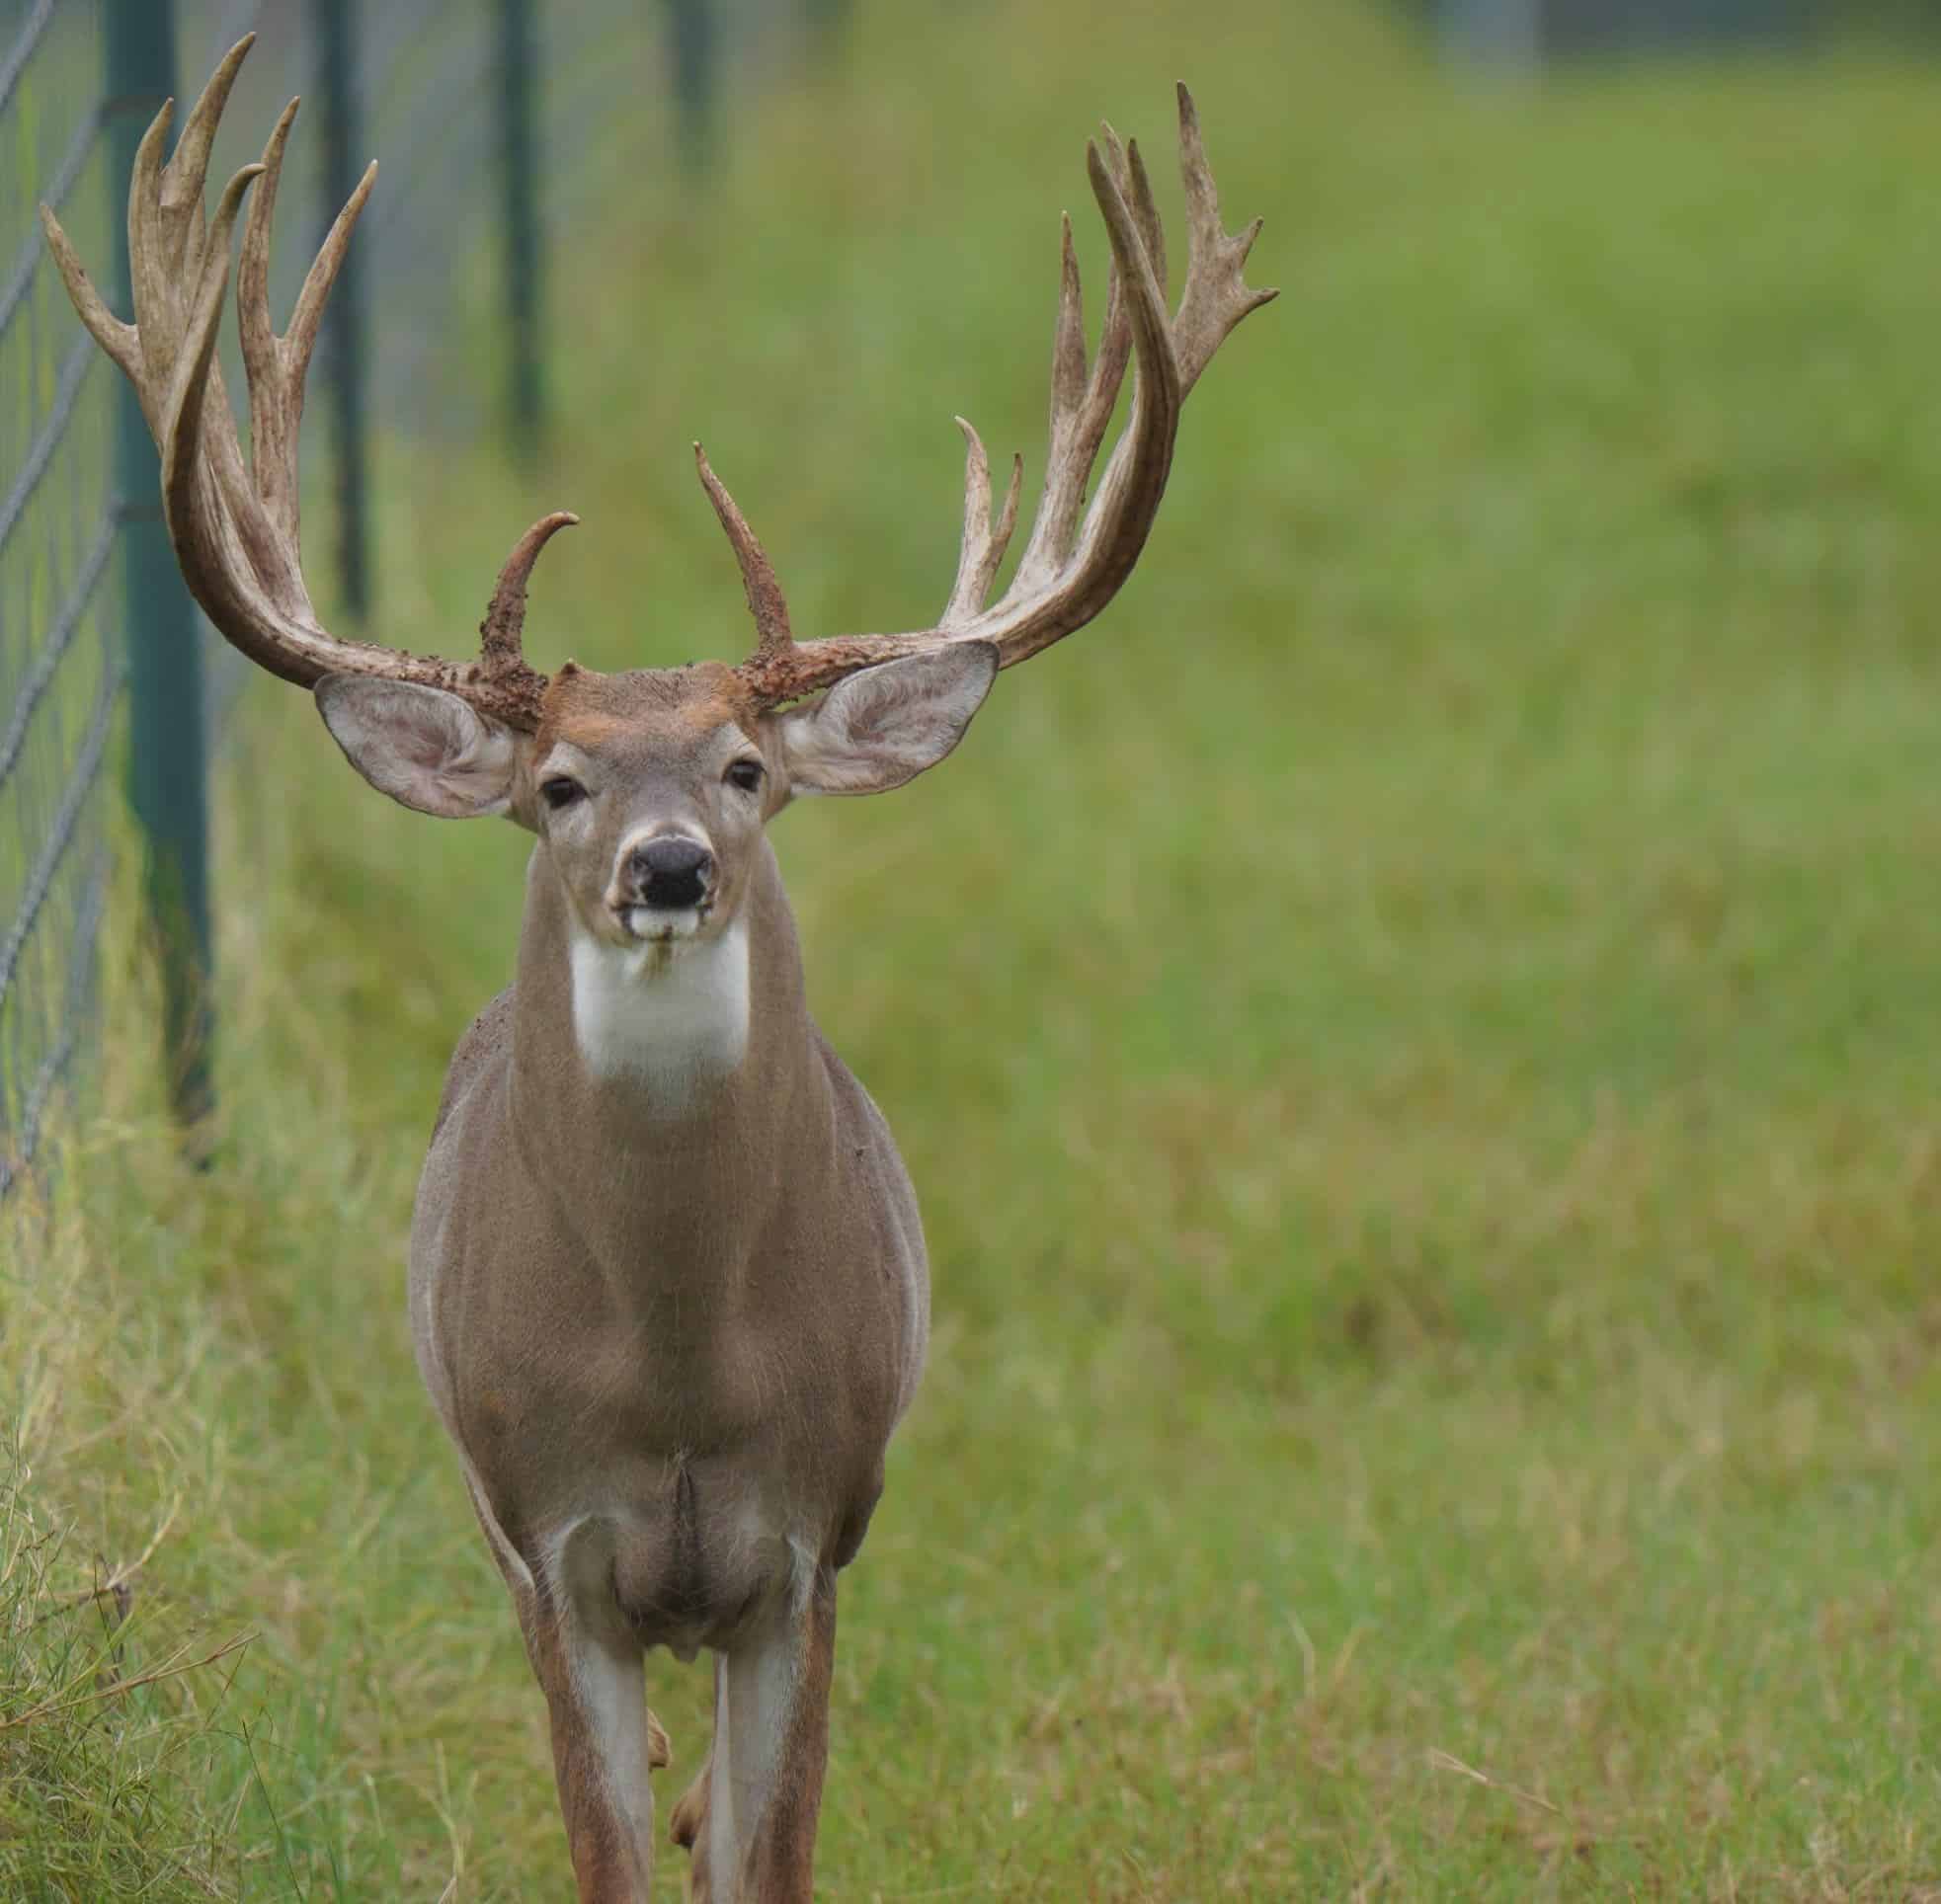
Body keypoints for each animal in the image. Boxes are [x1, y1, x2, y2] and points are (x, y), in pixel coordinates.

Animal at [44, 36, 1273, 1902]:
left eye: (745, 767)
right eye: (559, 782)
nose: (669, 864)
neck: (683, 1361)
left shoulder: (813, 1543)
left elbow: (761, 1859)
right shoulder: (554, 1549)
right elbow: (609, 1851)